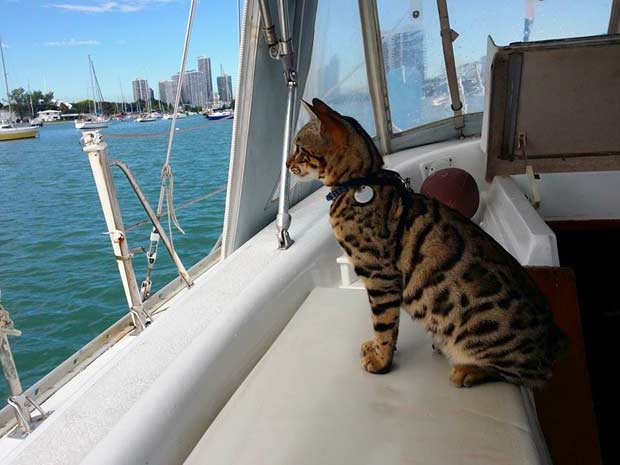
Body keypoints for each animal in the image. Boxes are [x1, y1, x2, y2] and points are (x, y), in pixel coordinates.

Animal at [286, 99, 568, 388]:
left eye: (298, 148)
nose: (286, 163)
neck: (360, 182)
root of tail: (555, 336)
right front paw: (376, 349)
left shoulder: (380, 276)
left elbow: (384, 324)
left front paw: (381, 360)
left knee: (528, 375)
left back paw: (468, 370)